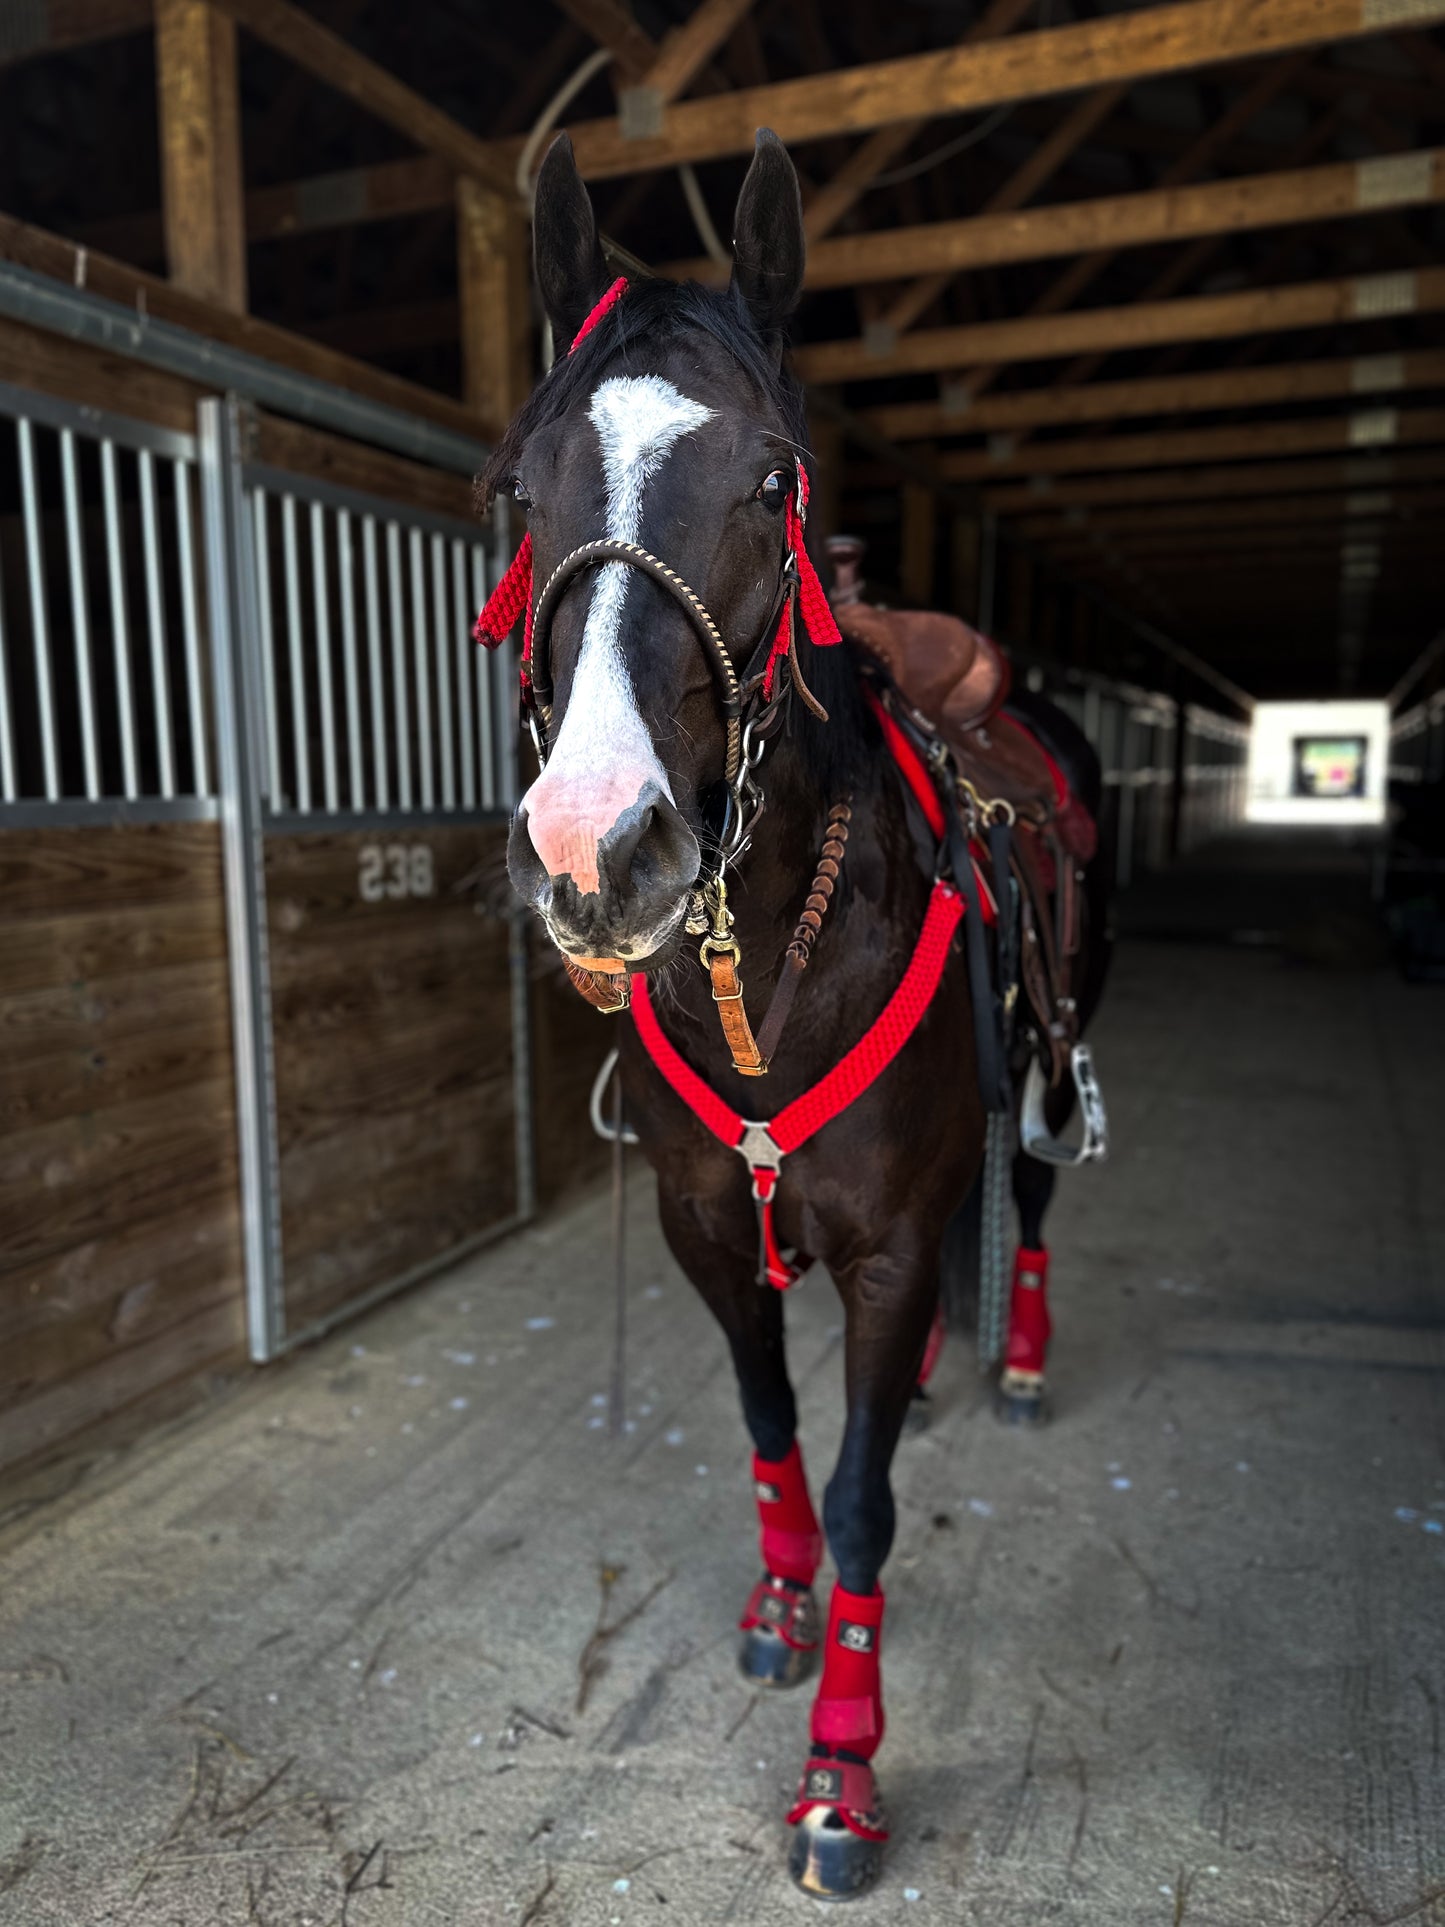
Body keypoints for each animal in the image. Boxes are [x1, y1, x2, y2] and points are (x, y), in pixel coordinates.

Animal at [475, 128, 1109, 1903]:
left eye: (773, 480)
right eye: (516, 485)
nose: (595, 845)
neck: (773, 969)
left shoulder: (885, 1257)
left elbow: (863, 1492)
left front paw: (840, 1773)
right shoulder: (710, 1228)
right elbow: (769, 1428)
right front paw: (773, 1601)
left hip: (1048, 1062)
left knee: (1029, 1196)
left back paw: (1013, 1355)